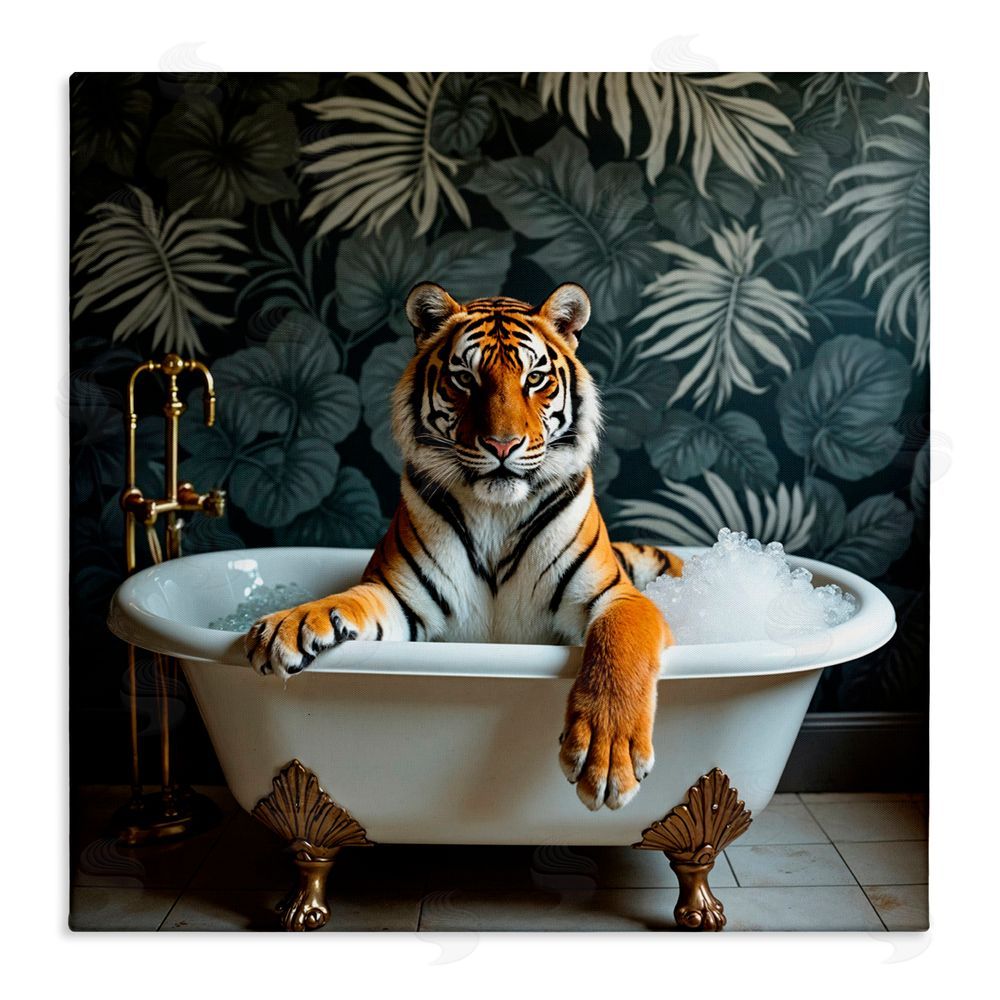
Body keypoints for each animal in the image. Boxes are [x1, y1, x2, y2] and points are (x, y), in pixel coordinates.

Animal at [245, 282, 683, 811]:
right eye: (465, 379)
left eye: (535, 379)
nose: (502, 445)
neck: (497, 512)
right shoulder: (401, 597)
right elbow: (346, 600)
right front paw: (289, 624)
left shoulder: (616, 596)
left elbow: (618, 647)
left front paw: (607, 753)